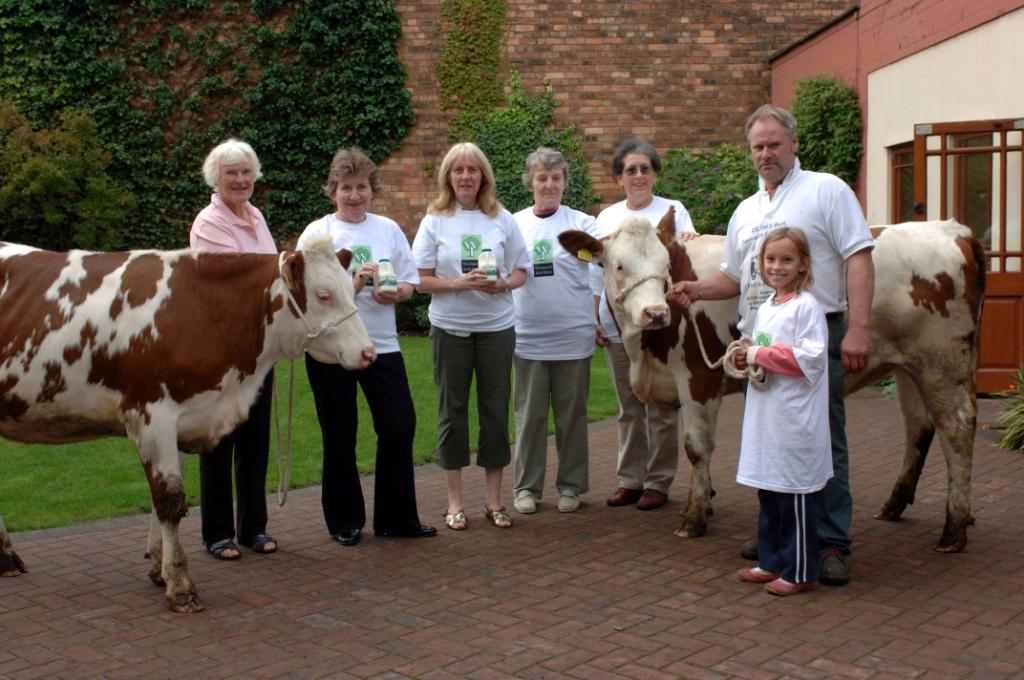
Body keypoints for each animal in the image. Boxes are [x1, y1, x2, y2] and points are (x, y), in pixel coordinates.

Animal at [0, 235, 376, 610]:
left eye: (351, 288)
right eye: (323, 295)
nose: (368, 353)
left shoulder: (183, 420)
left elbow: (162, 500)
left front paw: (158, 566)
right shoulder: (153, 417)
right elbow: (169, 499)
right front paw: (180, 583)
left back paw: (7, 558)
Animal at [561, 210, 983, 553]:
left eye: (664, 265)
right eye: (617, 266)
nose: (655, 313)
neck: (645, 350)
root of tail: (953, 229)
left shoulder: (699, 377)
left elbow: (697, 448)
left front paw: (695, 518)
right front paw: (707, 502)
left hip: (941, 361)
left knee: (957, 429)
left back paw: (954, 529)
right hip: (909, 366)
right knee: (919, 427)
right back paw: (897, 506)